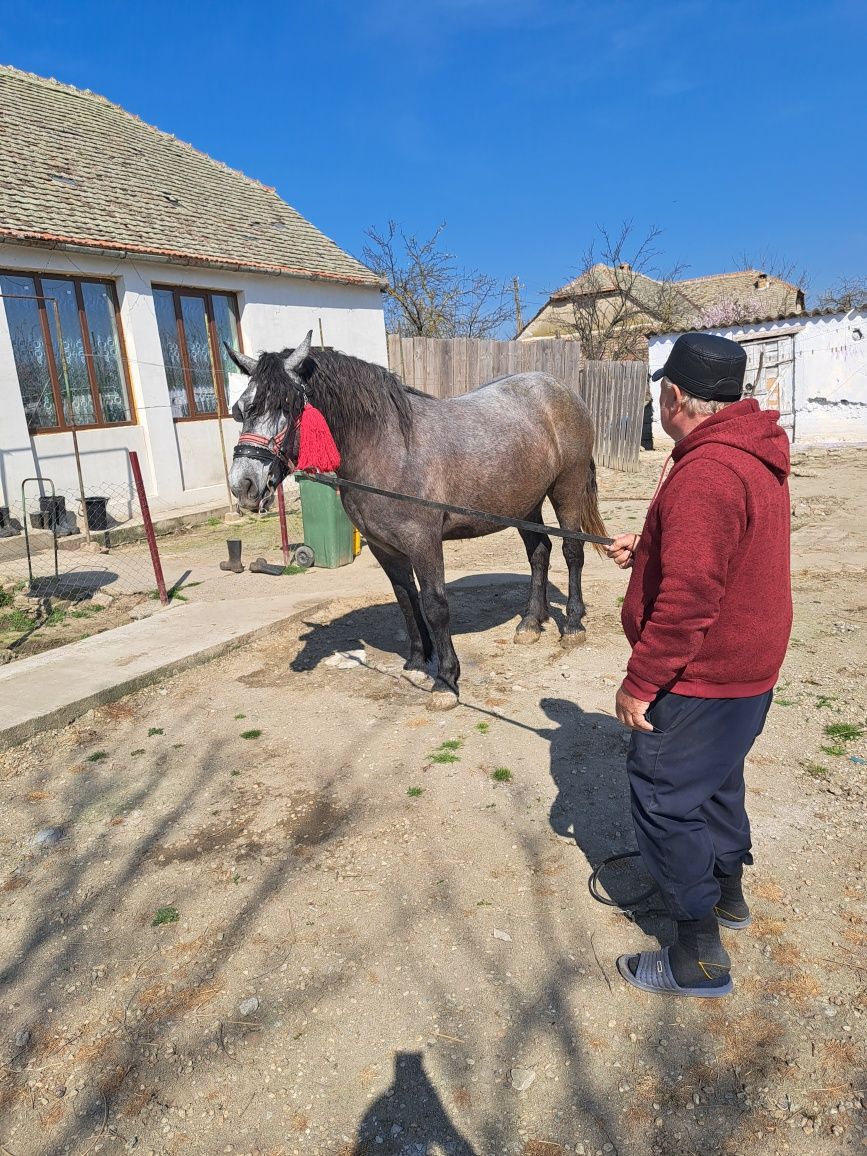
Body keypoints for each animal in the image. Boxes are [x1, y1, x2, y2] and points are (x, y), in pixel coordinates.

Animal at [228, 330, 605, 707]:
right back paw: (531, 622)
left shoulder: (423, 541)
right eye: (241, 409)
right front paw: (417, 662)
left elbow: (434, 604)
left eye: (288, 406)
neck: (387, 446)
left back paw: (573, 625)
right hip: (524, 505)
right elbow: (406, 599)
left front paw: (446, 680)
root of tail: (560, 389)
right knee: (539, 553)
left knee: (572, 552)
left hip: (567, 490)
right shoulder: (384, 547)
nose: (243, 485)